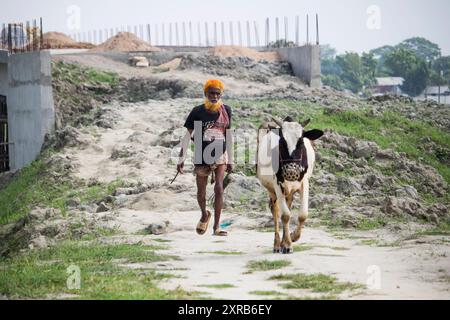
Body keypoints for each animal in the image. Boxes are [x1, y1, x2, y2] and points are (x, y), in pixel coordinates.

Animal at [256, 116, 324, 254]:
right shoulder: (277, 185)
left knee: (286, 207)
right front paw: (287, 244)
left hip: (289, 192)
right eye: (282, 142)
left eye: (301, 142)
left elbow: (303, 214)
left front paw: (292, 237)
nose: (291, 172)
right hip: (272, 190)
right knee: (276, 211)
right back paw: (277, 244)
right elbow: (285, 215)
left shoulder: (304, 183)